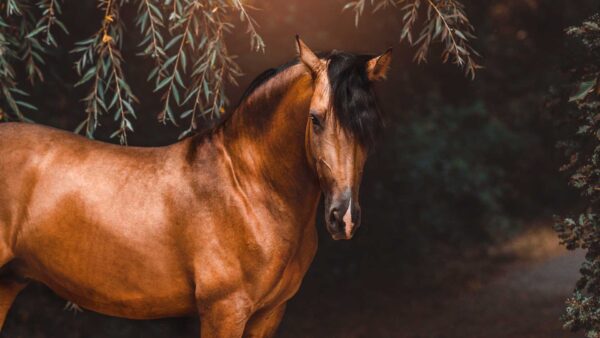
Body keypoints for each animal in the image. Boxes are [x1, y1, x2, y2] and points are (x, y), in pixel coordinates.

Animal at [0, 36, 390, 336]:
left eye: (369, 127)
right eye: (316, 119)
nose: (344, 218)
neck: (248, 189)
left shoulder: (269, 314)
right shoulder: (225, 311)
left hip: (9, 281)